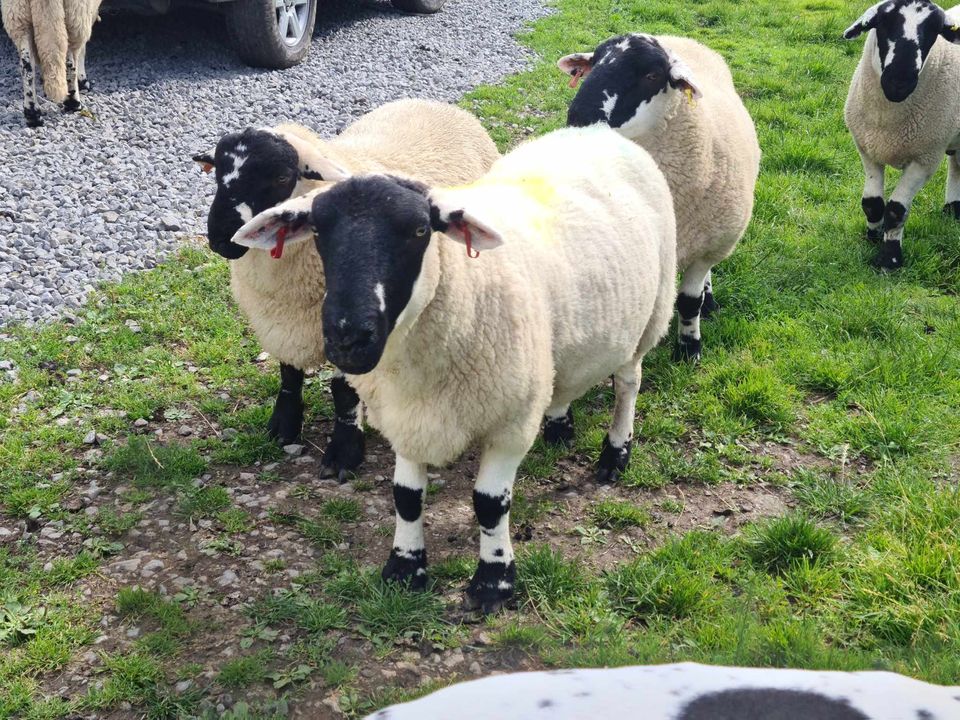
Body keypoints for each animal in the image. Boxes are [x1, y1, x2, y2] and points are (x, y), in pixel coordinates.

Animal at [191, 95, 498, 478]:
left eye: (281, 176)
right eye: (218, 174)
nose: (220, 238)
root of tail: (432, 102)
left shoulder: (346, 327)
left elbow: (342, 390)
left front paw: (344, 451)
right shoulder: (282, 321)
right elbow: (288, 374)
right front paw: (283, 427)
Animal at [230, 125, 680, 612]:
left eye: (419, 229)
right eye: (317, 231)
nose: (348, 337)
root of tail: (596, 131)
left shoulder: (511, 420)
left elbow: (489, 504)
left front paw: (494, 583)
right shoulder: (406, 415)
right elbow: (406, 498)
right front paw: (404, 568)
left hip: (651, 313)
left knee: (628, 385)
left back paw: (615, 455)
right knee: (562, 381)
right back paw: (560, 427)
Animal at [552, 32, 760, 366]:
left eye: (651, 76)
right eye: (593, 64)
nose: (580, 117)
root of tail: (678, 37)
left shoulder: (707, 247)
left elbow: (689, 302)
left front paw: (689, 348)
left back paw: (709, 301)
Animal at [840, 0, 960, 270]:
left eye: (934, 30)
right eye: (883, 23)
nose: (899, 81)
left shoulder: (925, 159)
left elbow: (896, 210)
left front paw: (890, 258)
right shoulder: (868, 148)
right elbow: (872, 203)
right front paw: (873, 236)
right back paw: (952, 209)